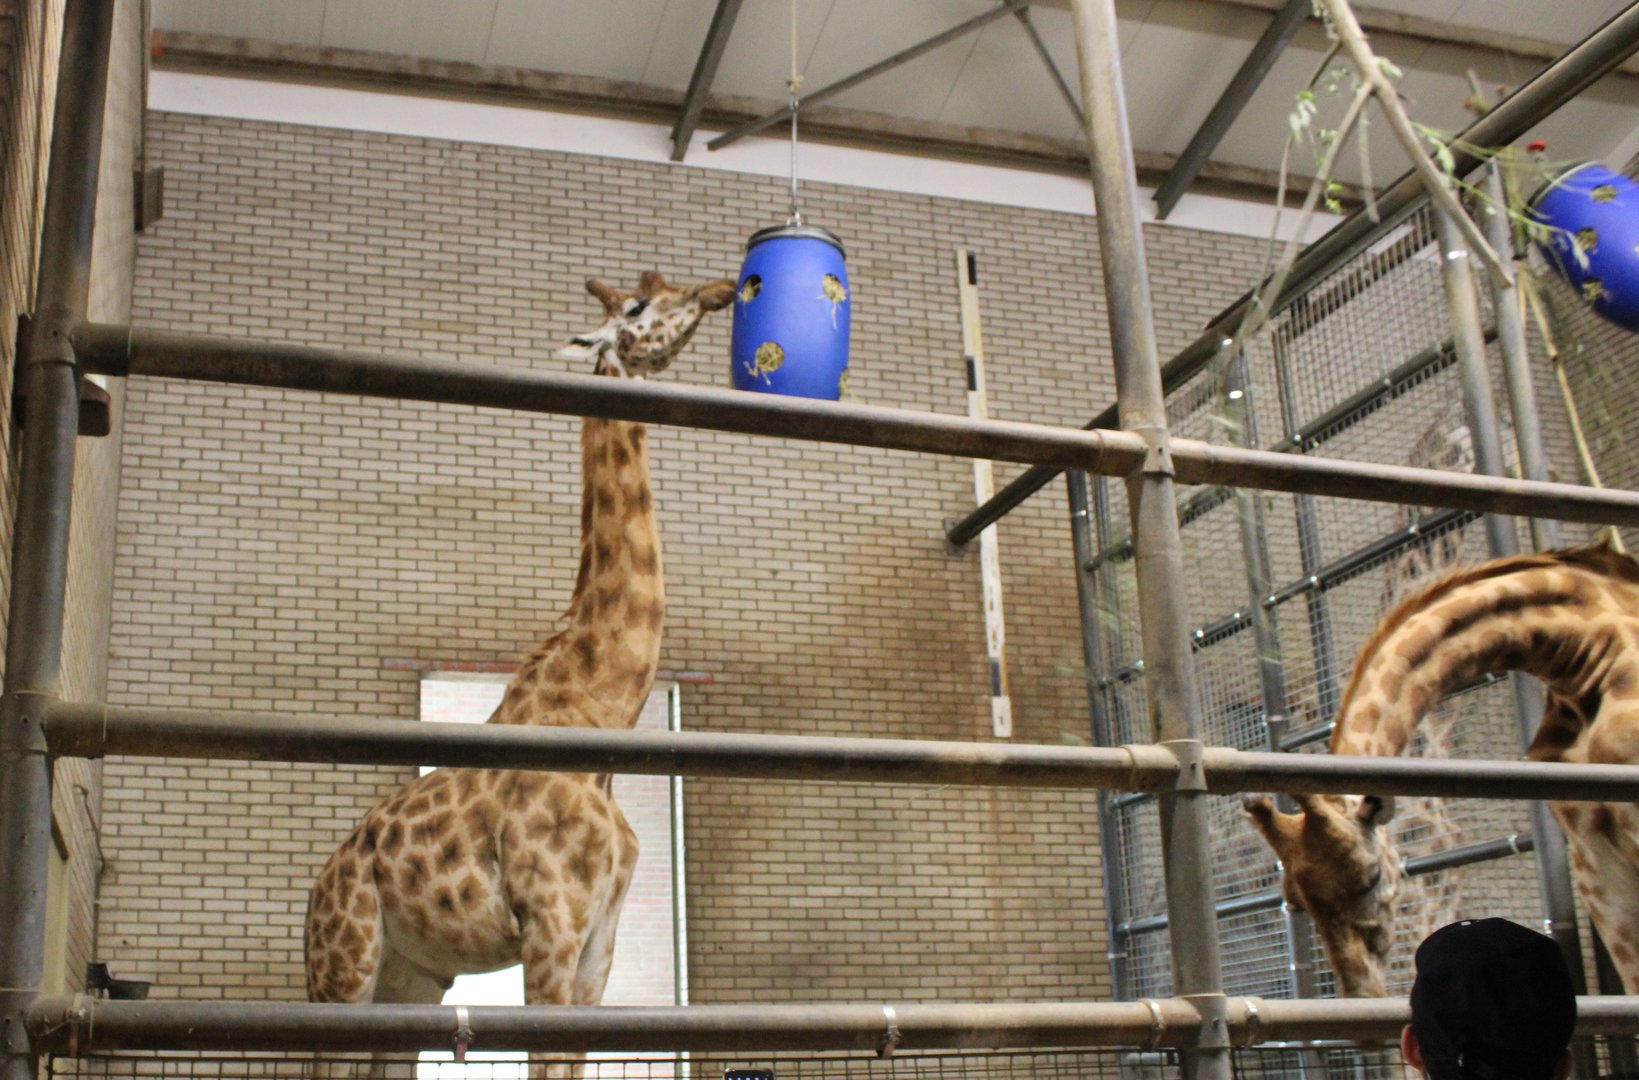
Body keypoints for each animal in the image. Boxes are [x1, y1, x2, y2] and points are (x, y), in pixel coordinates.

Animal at [303, 271, 735, 1076]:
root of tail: (316, 888)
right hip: (342, 967)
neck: (593, 713)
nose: (722, 289)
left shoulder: (598, 938)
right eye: (637, 306)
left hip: (409, 979)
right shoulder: (549, 924)